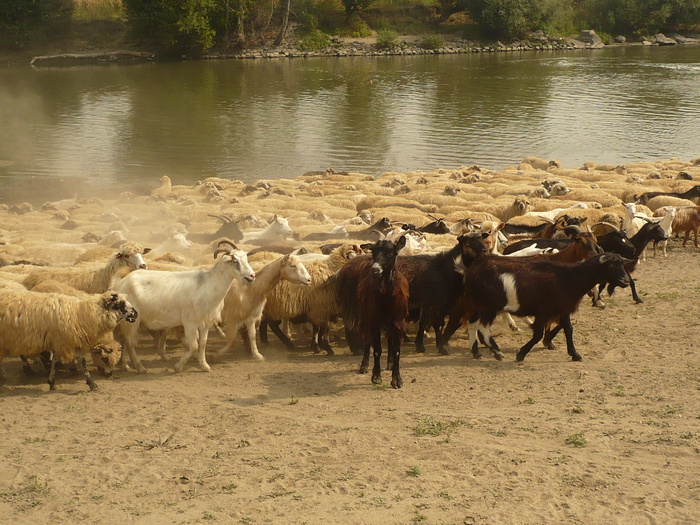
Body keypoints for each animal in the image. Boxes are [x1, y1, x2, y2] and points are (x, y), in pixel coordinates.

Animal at [112, 239, 258, 374]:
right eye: (235, 262)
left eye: (246, 259)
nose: (252, 276)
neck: (207, 285)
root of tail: (121, 283)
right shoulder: (190, 322)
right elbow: (193, 346)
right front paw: (178, 367)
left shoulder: (205, 322)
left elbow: (203, 343)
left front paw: (204, 365)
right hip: (132, 320)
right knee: (130, 343)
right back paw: (140, 367)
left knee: (124, 341)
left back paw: (125, 366)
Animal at [338, 237, 410, 388]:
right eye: (374, 253)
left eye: (390, 253)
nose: (375, 270)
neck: (387, 295)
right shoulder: (374, 322)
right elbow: (377, 350)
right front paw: (376, 377)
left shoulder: (399, 322)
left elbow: (397, 351)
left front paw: (397, 379)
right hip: (366, 317)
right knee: (367, 341)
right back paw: (364, 366)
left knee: (389, 340)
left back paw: (389, 364)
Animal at [460, 253, 628, 360]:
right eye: (611, 264)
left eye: (622, 264)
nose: (626, 281)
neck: (567, 279)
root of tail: (473, 269)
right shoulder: (543, 312)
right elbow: (538, 335)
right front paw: (521, 354)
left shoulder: (563, 309)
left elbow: (568, 329)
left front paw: (575, 354)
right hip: (488, 306)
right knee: (483, 327)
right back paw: (497, 352)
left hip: (480, 305)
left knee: (473, 324)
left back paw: (477, 352)